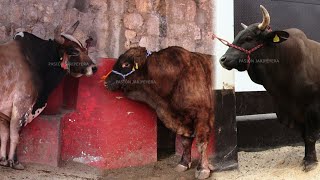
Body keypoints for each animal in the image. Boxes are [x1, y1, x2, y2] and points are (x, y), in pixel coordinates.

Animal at [105, 46, 215, 179]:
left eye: (126, 64)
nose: (107, 81)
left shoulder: (203, 115)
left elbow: (201, 143)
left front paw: (203, 169)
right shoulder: (184, 118)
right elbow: (185, 142)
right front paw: (183, 163)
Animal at [220, 4, 320, 172]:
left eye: (248, 38)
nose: (223, 59)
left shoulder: (312, 108)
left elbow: (310, 136)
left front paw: (311, 162)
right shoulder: (294, 111)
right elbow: (304, 136)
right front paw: (306, 157)